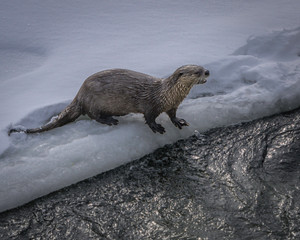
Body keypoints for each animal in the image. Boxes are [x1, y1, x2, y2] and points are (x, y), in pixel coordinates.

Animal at [9, 64, 210, 134]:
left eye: (202, 66)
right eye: (196, 71)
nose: (208, 71)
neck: (166, 94)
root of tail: (80, 94)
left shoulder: (173, 105)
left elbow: (172, 114)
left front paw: (179, 121)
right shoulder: (150, 105)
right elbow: (149, 117)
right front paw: (157, 127)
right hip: (93, 101)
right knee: (93, 115)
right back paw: (110, 120)